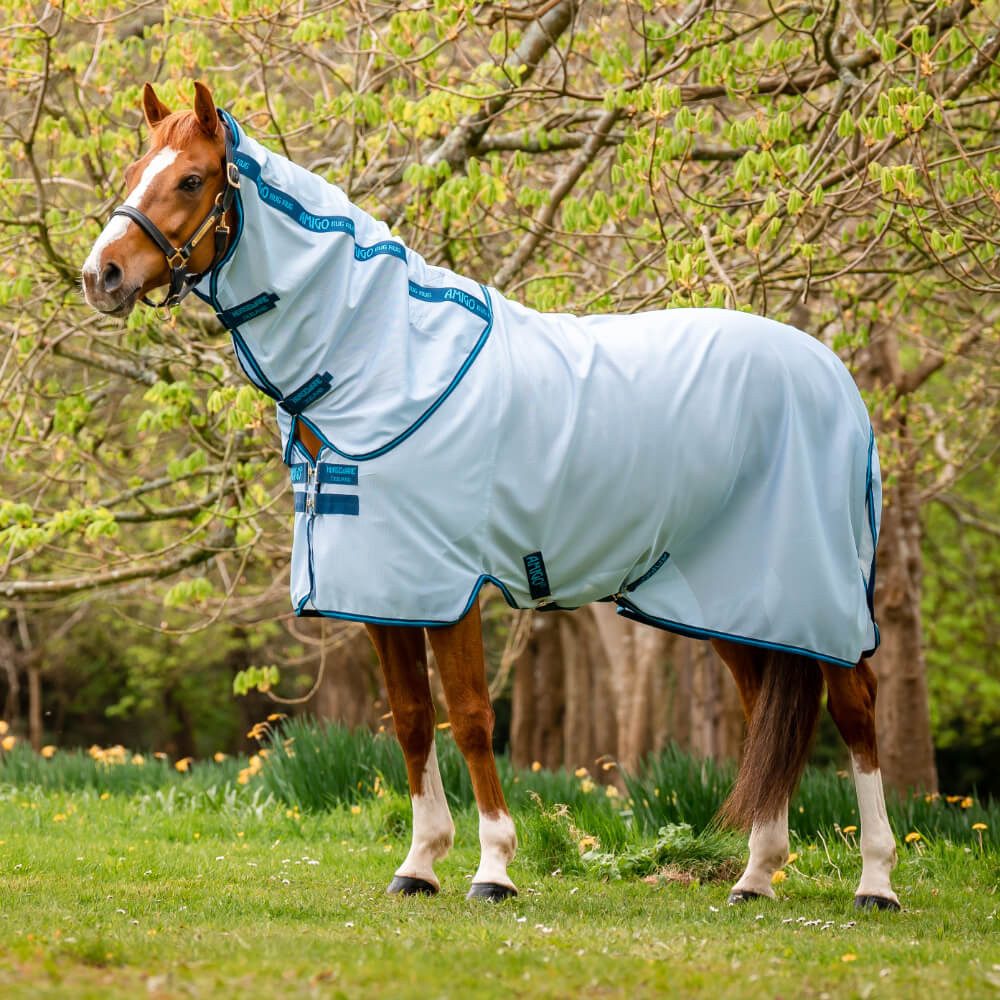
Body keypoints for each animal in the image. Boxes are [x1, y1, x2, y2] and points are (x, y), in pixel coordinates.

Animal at [82, 81, 900, 910]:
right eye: (134, 170)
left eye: (190, 179)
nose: (101, 275)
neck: (384, 360)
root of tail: (832, 376)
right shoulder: (384, 592)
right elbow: (413, 719)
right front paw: (418, 864)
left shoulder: (451, 587)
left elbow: (472, 718)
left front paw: (494, 868)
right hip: (735, 600)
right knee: (768, 710)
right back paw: (756, 876)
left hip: (817, 593)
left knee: (856, 707)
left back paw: (875, 882)